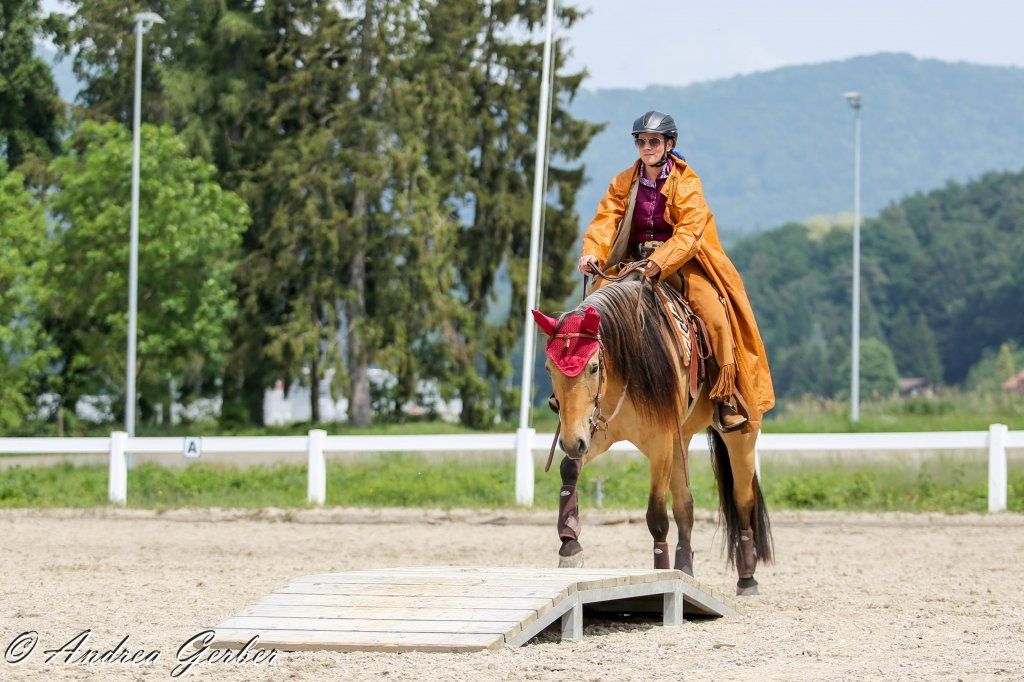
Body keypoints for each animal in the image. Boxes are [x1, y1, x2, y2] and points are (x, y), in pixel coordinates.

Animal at [532, 277, 773, 596]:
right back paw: (685, 568)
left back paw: (747, 577)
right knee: (685, 506)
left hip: (740, 436)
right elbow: (569, 469)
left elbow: (657, 515)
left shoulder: (660, 443)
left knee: (742, 498)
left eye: (593, 367)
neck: (629, 362)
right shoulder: (596, 433)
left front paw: (660, 571)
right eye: (549, 369)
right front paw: (570, 544)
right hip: (680, 440)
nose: (571, 441)